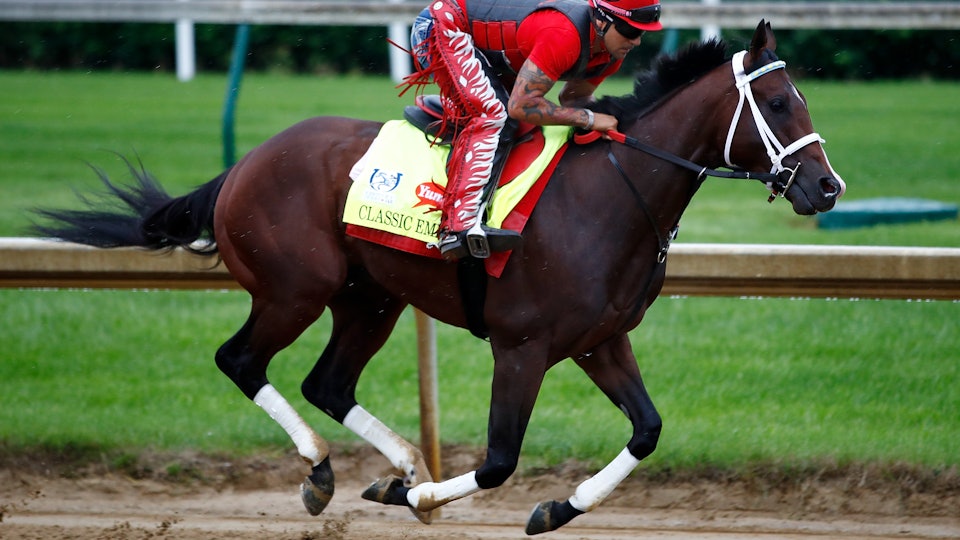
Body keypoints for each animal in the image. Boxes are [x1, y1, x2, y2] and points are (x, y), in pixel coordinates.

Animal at [33, 21, 844, 534]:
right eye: (778, 103)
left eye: (804, 100)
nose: (827, 189)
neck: (613, 195)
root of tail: (243, 164)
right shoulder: (521, 348)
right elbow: (498, 462)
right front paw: (431, 493)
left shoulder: (599, 341)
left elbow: (646, 430)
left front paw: (549, 507)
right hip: (296, 289)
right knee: (241, 360)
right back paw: (326, 469)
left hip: (370, 299)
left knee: (328, 382)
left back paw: (394, 466)